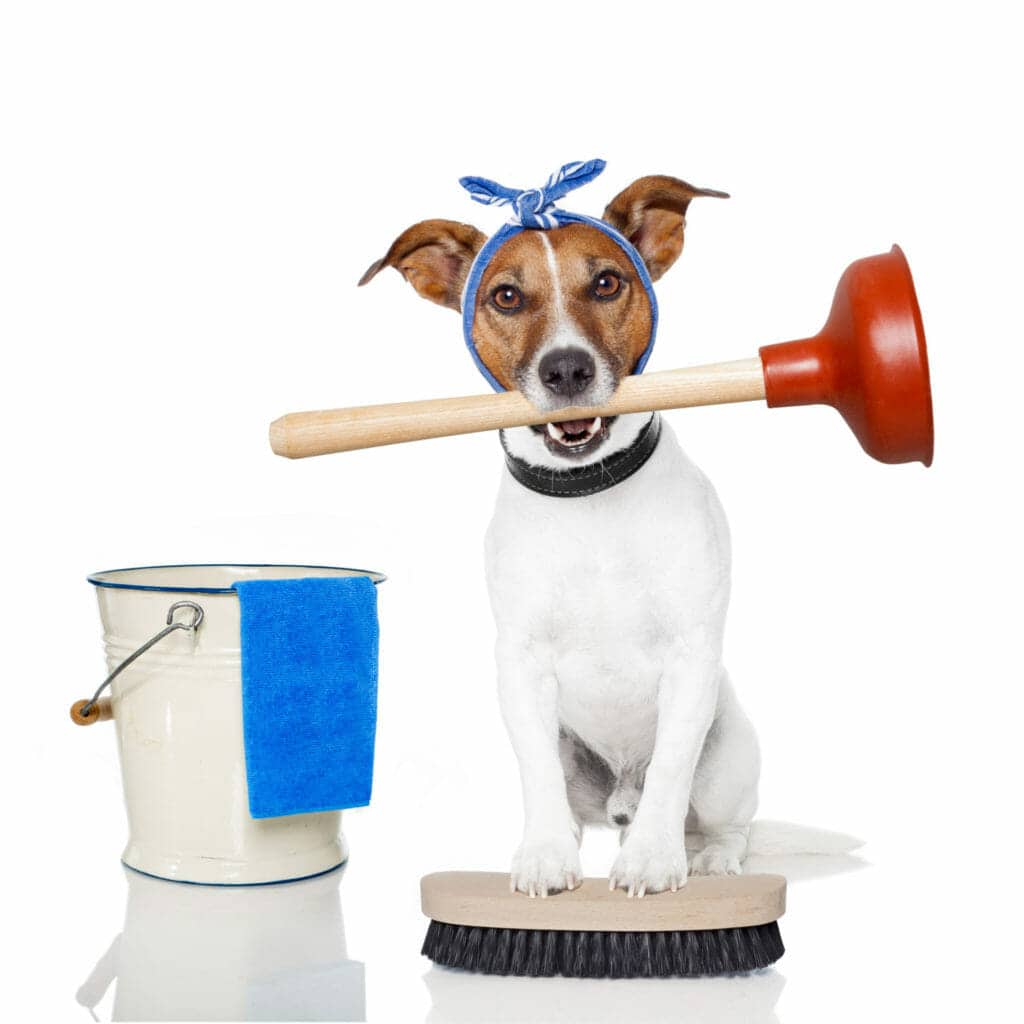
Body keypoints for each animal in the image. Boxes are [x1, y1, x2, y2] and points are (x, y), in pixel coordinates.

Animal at [360, 174, 761, 897]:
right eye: (506, 296)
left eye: (606, 283)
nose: (567, 369)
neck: (589, 495)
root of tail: (620, 796)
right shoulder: (520, 665)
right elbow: (538, 771)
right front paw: (545, 857)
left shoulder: (692, 657)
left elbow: (671, 768)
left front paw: (653, 861)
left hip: (727, 757)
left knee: (719, 819)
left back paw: (709, 858)